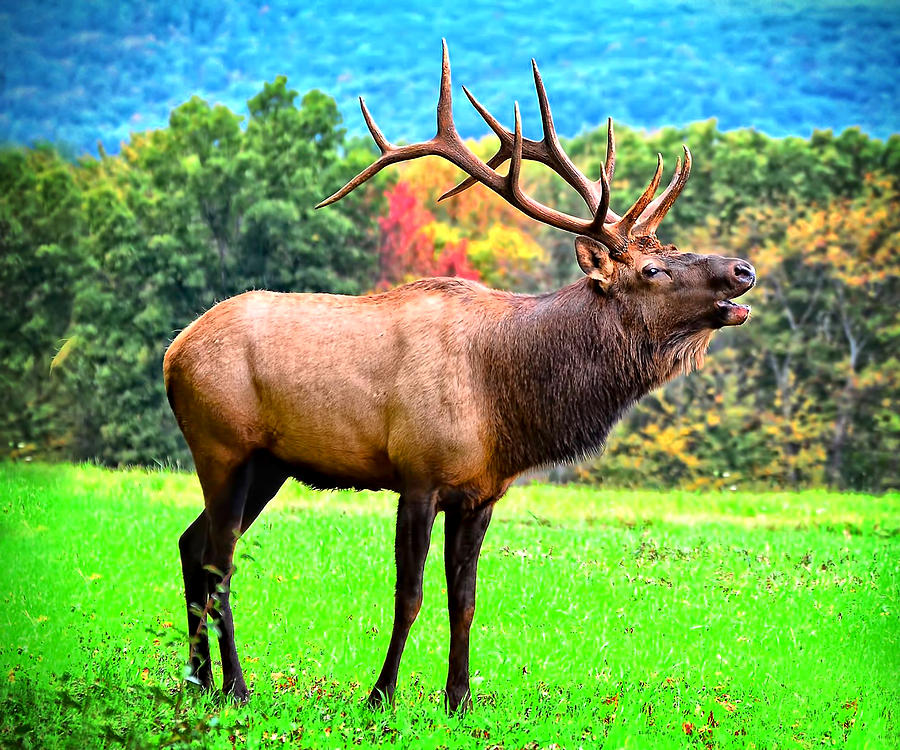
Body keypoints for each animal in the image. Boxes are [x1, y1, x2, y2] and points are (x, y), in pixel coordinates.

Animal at [162, 44, 752, 712]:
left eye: (671, 249)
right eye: (653, 269)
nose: (743, 269)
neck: (506, 401)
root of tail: (173, 352)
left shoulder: (481, 492)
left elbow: (464, 600)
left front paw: (459, 698)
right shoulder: (418, 475)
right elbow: (410, 595)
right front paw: (381, 695)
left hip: (268, 463)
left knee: (191, 544)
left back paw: (197, 680)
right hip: (222, 445)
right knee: (219, 561)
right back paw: (234, 687)